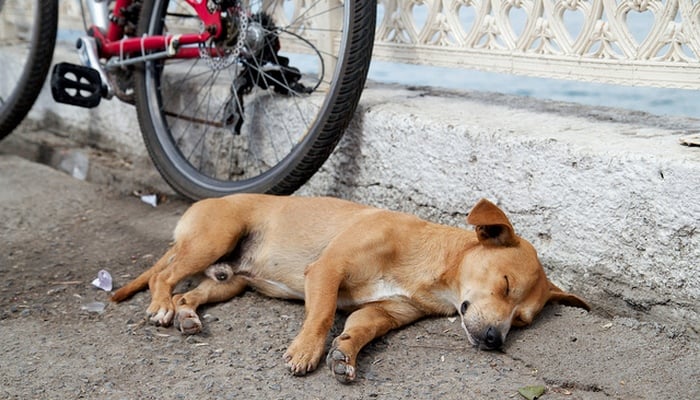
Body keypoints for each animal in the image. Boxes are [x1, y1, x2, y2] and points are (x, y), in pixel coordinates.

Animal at [112, 195, 588, 382]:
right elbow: (323, 314)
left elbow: (357, 329)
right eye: (505, 285)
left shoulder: (383, 312)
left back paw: (187, 314)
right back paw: (160, 305)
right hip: (213, 240)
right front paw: (307, 351)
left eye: (521, 321)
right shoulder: (328, 270)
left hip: (226, 281)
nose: (493, 341)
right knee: (161, 277)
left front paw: (344, 354)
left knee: (188, 293)